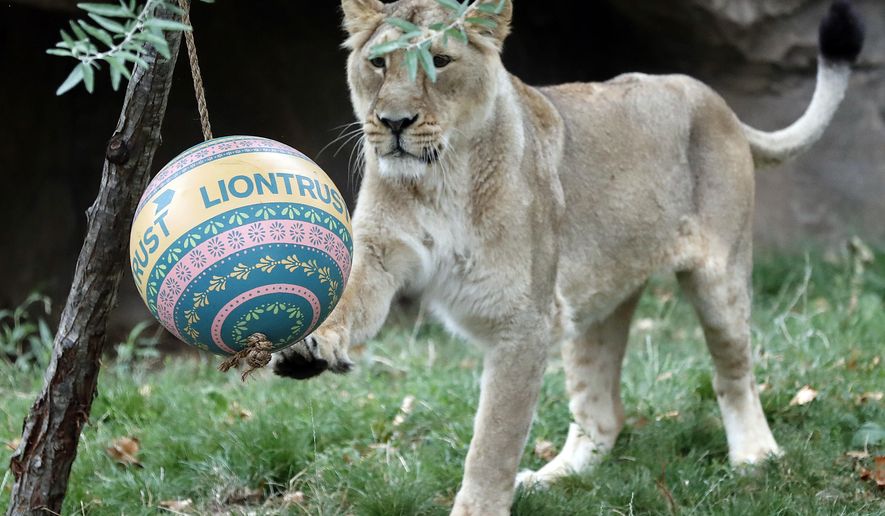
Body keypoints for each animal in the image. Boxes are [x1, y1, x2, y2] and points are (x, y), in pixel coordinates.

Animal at [272, 0, 865, 514]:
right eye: (378, 63)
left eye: (440, 61)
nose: (393, 122)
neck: (438, 181)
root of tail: (713, 99)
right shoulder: (380, 252)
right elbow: (350, 300)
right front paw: (310, 345)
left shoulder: (524, 323)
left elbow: (493, 442)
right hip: (592, 307)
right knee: (603, 412)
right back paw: (554, 477)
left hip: (719, 278)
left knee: (734, 372)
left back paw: (754, 458)